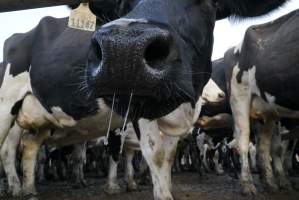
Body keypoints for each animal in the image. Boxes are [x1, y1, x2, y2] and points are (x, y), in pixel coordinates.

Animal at [0, 0, 290, 199]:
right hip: (6, 106)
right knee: (8, 149)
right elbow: (154, 157)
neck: (184, 111)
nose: (124, 51)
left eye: (208, 3)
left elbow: (168, 156)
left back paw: (28, 188)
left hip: (38, 120)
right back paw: (15, 187)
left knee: (29, 148)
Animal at [226, 9, 299, 195]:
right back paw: (248, 185)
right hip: (239, 98)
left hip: (268, 112)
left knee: (264, 146)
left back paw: (271, 183)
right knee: (243, 140)